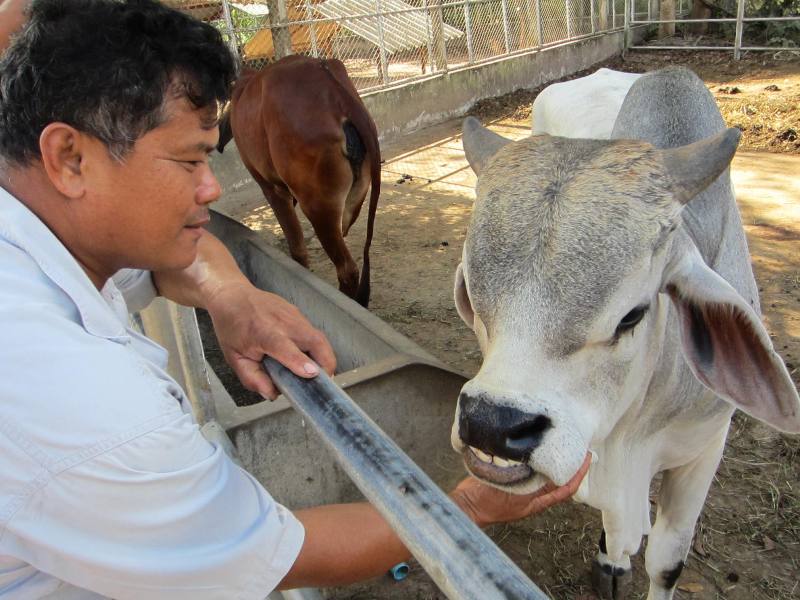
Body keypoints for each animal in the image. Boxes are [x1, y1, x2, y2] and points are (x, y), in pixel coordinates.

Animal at [219, 54, 382, 308]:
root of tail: (337, 93)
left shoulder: (271, 188)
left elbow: (297, 248)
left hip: (317, 206)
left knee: (347, 269)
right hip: (353, 199)